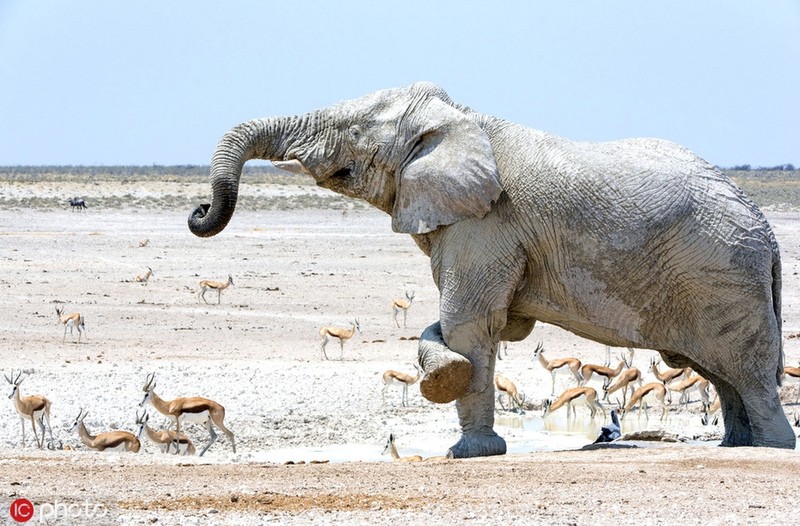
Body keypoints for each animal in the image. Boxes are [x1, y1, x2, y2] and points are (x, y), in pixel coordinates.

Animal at [189, 81, 792, 458]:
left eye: (353, 131)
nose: (199, 211)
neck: (459, 118)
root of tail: (766, 229)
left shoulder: (486, 222)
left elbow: (468, 322)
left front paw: (469, 452)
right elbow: (479, 325)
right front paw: (448, 381)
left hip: (722, 274)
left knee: (745, 369)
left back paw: (769, 446)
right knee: (718, 372)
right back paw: (737, 444)